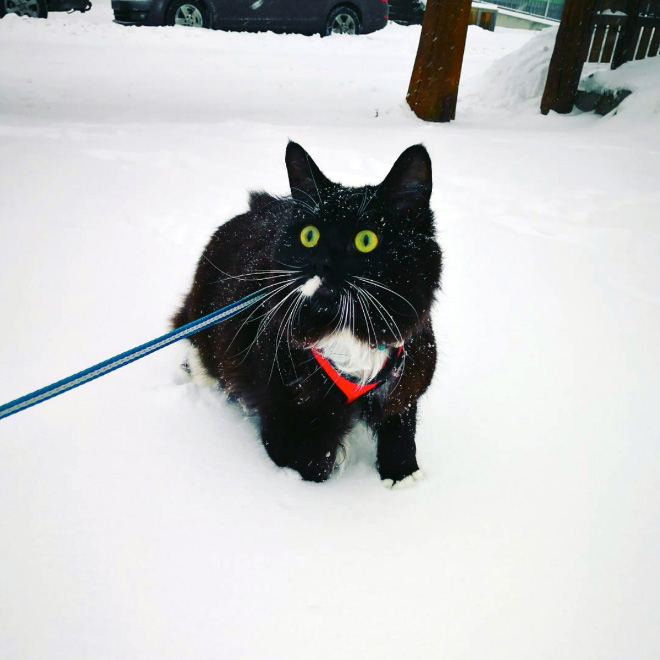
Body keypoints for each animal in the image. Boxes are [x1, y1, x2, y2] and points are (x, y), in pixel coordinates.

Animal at [174, 142, 444, 488]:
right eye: (310, 236)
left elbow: (400, 425)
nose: (322, 263)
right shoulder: (288, 415)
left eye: (366, 240)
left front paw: (401, 475)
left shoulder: (407, 373)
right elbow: (315, 460)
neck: (348, 330)